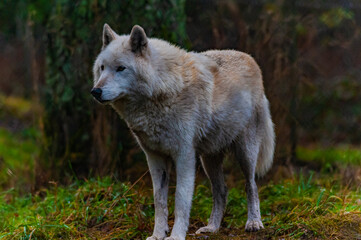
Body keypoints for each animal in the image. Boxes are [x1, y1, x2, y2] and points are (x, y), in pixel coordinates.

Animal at [91, 23, 274, 240]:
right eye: (102, 68)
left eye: (121, 68)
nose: (95, 91)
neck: (160, 89)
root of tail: (250, 58)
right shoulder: (155, 158)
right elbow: (159, 201)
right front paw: (157, 235)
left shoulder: (184, 156)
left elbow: (180, 200)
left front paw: (176, 235)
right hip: (209, 159)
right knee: (221, 190)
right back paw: (212, 228)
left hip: (245, 153)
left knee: (251, 185)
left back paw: (254, 222)